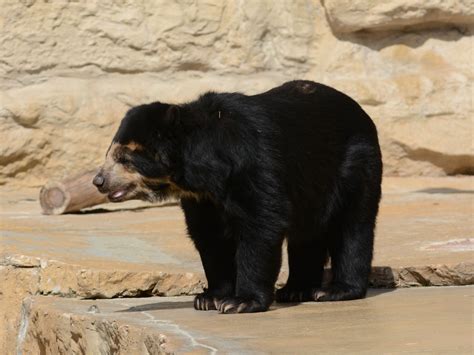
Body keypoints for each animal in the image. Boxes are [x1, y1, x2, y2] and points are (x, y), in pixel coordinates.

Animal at [94, 80, 384, 314]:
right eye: (110, 154)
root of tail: (362, 113)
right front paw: (210, 298)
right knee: (307, 235)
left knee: (353, 225)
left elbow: (262, 223)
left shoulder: (254, 163)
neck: (206, 169)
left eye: (124, 158)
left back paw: (336, 289)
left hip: (355, 164)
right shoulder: (204, 198)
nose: (98, 181)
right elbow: (210, 236)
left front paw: (241, 302)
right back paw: (296, 289)